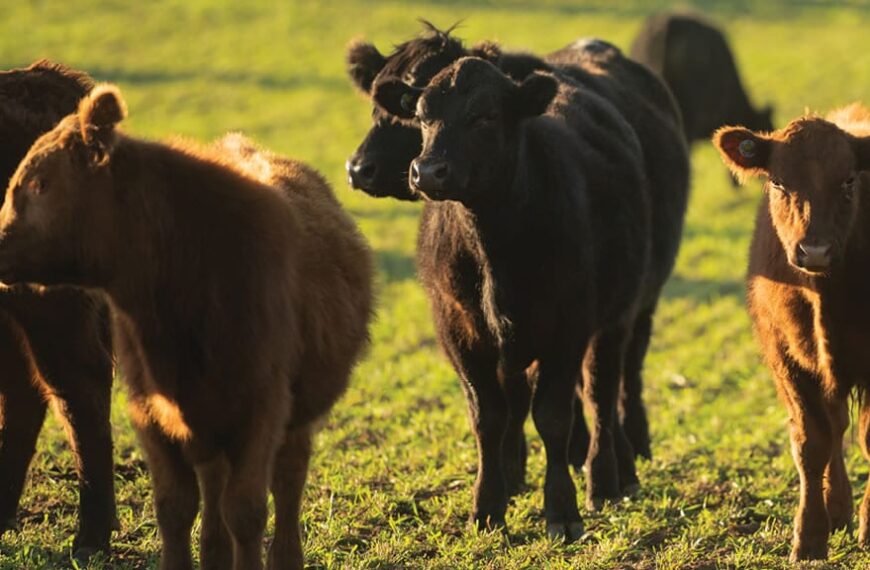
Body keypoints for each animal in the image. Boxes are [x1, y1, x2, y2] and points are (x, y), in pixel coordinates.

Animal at [0, 85, 372, 568]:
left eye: (41, 183)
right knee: (214, 487)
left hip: (295, 417)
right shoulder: (150, 413)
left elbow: (247, 511)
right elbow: (175, 508)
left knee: (287, 481)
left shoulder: (263, 410)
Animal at [376, 56, 656, 536]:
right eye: (423, 117)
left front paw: (562, 510)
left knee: (601, 395)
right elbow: (488, 418)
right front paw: (487, 505)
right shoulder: (459, 333)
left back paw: (605, 482)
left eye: (485, 115)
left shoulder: (568, 329)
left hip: (615, 320)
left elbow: (554, 418)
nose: (427, 171)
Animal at [712, 104, 870, 560]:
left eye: (849, 180)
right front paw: (810, 536)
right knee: (834, 428)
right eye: (778, 182)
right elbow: (811, 443)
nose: (813, 250)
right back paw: (838, 510)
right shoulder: (787, 360)